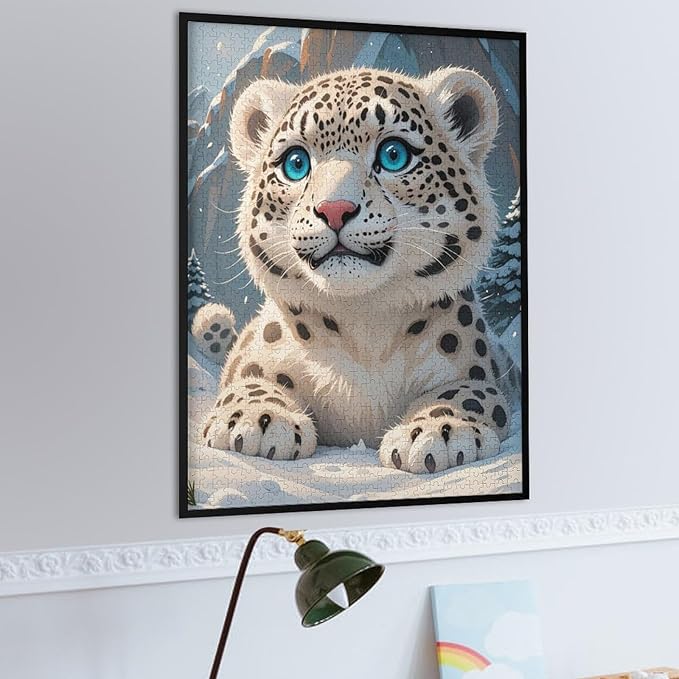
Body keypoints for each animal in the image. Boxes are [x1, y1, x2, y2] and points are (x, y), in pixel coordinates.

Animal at [195, 66, 513, 474]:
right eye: (295, 162)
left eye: (393, 154)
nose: (334, 209)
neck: (364, 327)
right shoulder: (252, 360)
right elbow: (248, 380)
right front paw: (259, 421)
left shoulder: (478, 371)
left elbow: (469, 392)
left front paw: (439, 432)